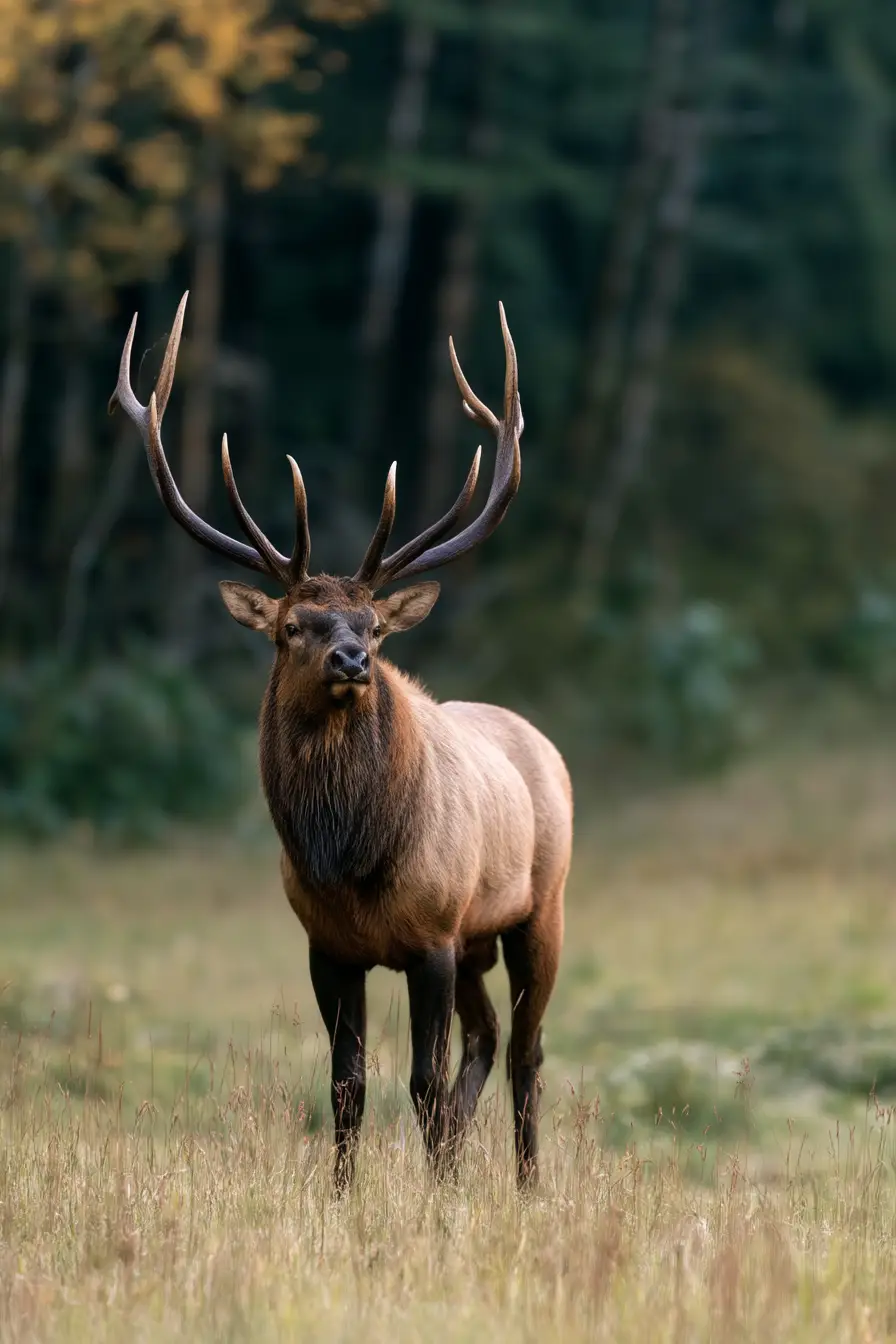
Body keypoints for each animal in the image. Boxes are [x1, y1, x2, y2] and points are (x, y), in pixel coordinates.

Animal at [110, 293, 573, 1189]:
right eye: (293, 625)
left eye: (374, 626)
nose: (353, 660)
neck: (349, 856)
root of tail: (541, 742)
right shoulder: (328, 944)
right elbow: (347, 1084)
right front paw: (344, 1196)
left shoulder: (433, 933)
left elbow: (420, 1081)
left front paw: (432, 1202)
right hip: (478, 942)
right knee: (489, 1038)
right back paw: (463, 1162)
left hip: (541, 907)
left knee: (527, 1052)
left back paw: (530, 1187)